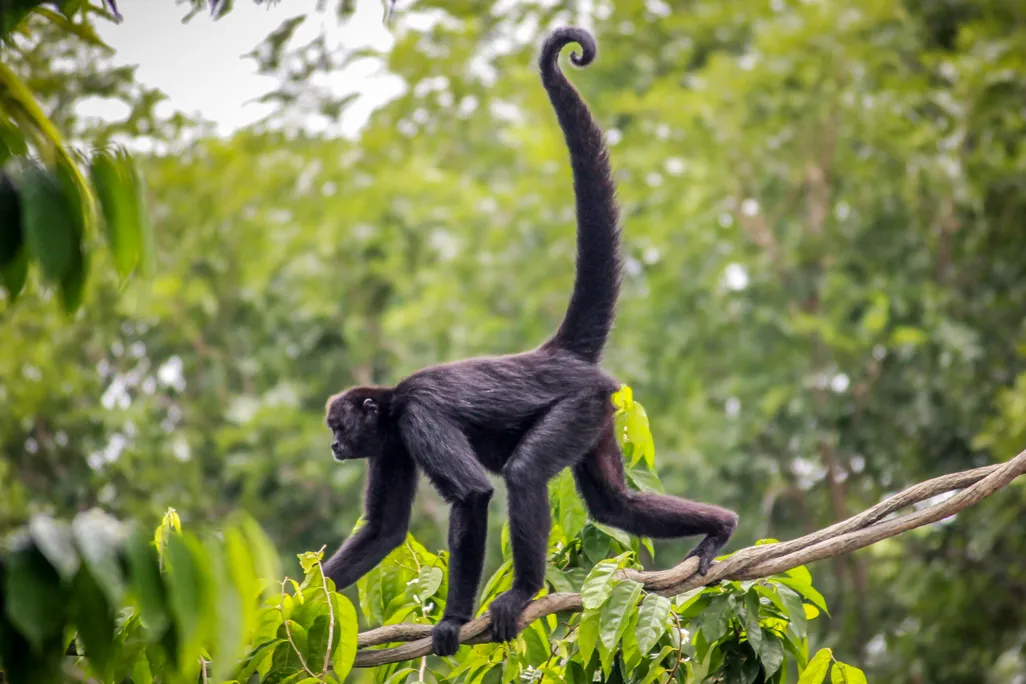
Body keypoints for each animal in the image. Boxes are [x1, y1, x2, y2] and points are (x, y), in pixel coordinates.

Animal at [321, 26, 739, 657]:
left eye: (339, 425)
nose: (334, 446)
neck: (391, 406)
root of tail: (554, 356)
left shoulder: (417, 418)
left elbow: (473, 495)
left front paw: (452, 620)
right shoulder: (392, 442)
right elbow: (385, 529)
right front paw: (292, 597)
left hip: (578, 405)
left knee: (523, 474)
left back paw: (523, 593)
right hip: (598, 414)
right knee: (615, 502)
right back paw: (720, 525)